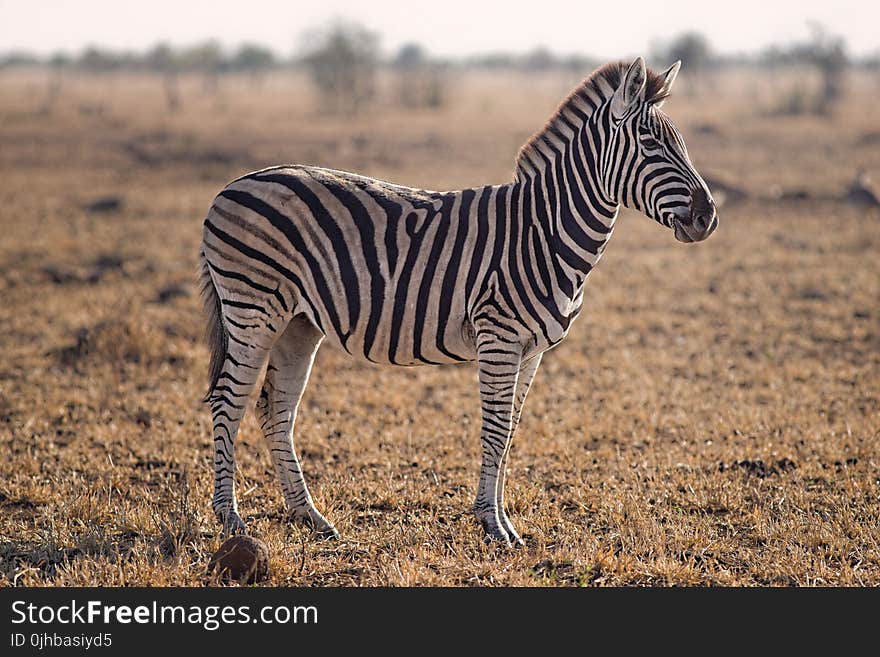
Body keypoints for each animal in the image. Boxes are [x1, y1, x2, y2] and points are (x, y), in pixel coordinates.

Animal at [201, 60, 720, 544]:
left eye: (682, 144)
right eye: (651, 145)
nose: (708, 217)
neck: (545, 231)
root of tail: (232, 186)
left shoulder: (532, 351)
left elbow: (510, 431)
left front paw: (498, 519)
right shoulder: (499, 336)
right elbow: (493, 429)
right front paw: (493, 525)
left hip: (298, 323)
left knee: (274, 408)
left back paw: (309, 517)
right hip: (253, 310)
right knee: (228, 401)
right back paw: (231, 519)